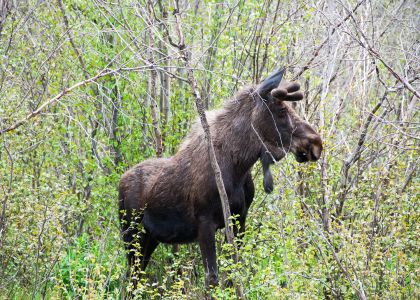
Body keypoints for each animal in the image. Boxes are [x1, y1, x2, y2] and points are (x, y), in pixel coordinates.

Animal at [120, 69, 324, 290]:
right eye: (280, 110)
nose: (316, 142)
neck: (238, 167)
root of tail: (121, 181)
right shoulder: (205, 223)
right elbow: (212, 278)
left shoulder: (240, 218)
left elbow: (233, 272)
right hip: (131, 235)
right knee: (131, 277)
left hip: (149, 238)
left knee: (136, 276)